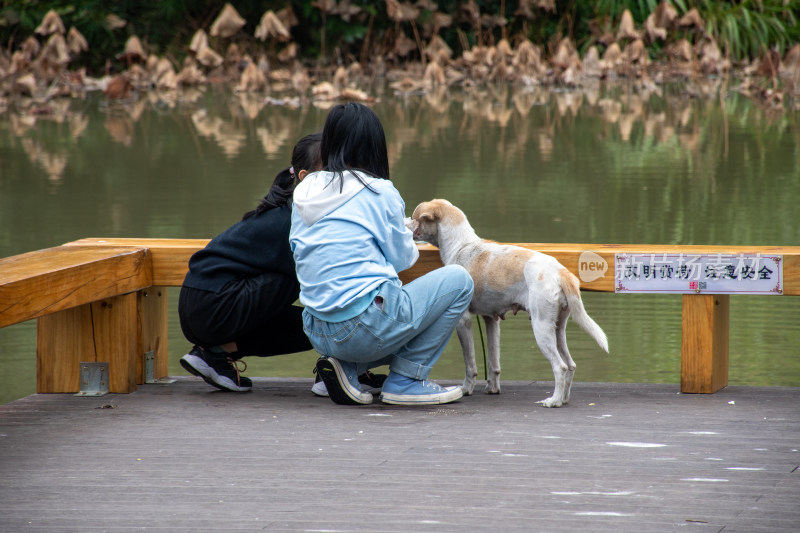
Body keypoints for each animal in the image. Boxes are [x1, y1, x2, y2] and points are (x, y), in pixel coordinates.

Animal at [410, 200, 608, 408]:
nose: (406, 223)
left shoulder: (463, 322)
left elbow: (470, 363)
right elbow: (493, 362)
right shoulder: (491, 320)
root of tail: (561, 271)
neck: (462, 246)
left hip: (541, 328)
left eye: (415, 218)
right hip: (558, 329)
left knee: (560, 367)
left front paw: (465, 390)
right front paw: (492, 388)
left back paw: (553, 401)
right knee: (570, 365)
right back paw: (563, 399)